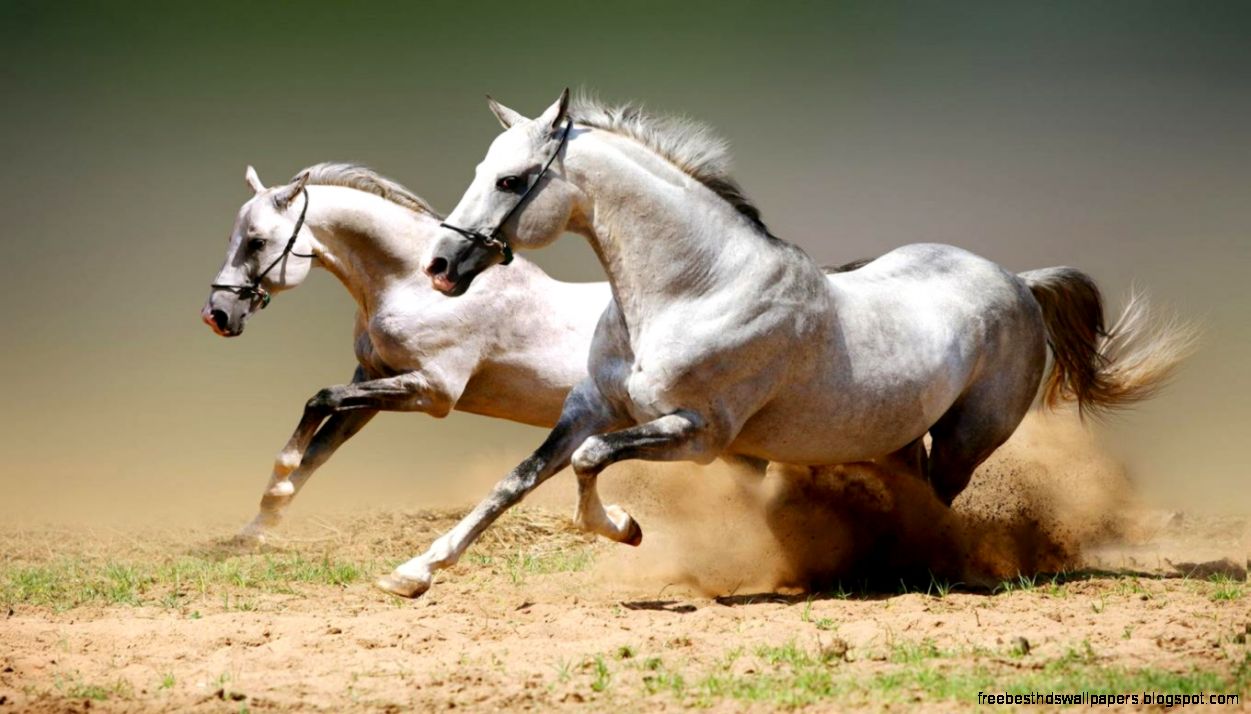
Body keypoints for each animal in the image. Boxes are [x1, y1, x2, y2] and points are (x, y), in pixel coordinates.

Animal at [201, 163, 610, 543]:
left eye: (256, 242)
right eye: (231, 237)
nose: (216, 315)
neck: (416, 286)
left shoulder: (433, 391)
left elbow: (321, 399)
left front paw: (279, 480)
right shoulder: (374, 380)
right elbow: (319, 447)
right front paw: (257, 527)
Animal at [377, 90, 1194, 599]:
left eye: (512, 181)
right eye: (483, 170)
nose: (441, 267)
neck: (694, 288)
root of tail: (1018, 282)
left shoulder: (698, 434)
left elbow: (588, 465)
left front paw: (627, 529)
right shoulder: (589, 408)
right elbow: (514, 483)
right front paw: (413, 572)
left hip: (967, 438)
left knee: (939, 501)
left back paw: (920, 568)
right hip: (896, 436)